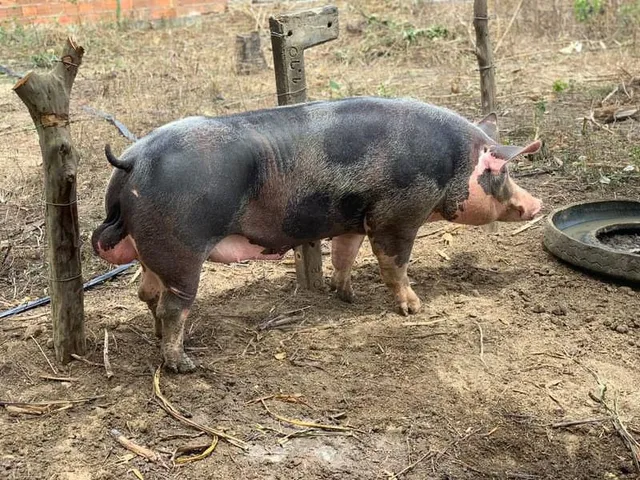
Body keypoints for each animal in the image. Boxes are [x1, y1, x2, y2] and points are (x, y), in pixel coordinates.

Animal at [92, 96, 542, 373]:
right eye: (502, 172)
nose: (537, 205)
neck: (452, 164)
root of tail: (134, 160)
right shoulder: (397, 217)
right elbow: (394, 264)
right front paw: (415, 308)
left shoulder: (354, 219)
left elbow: (345, 255)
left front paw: (346, 296)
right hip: (181, 249)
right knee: (173, 305)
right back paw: (183, 365)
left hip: (153, 252)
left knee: (148, 294)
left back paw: (159, 338)